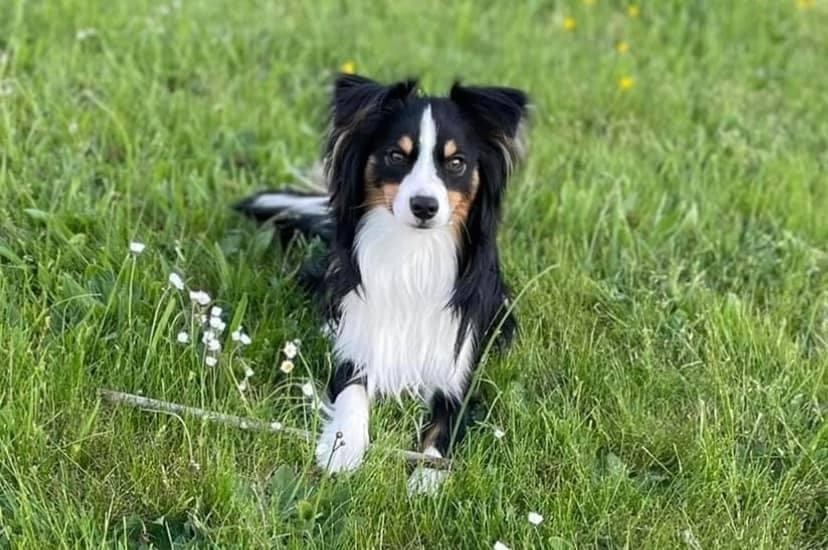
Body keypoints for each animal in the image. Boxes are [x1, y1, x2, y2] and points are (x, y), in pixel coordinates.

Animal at [236, 74, 528, 489]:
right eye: (396, 156)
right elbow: (352, 396)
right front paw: (343, 449)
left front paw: (426, 477)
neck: (412, 254)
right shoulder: (357, 349)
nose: (424, 207)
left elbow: (442, 428)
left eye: (456, 163)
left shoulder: (456, 374)